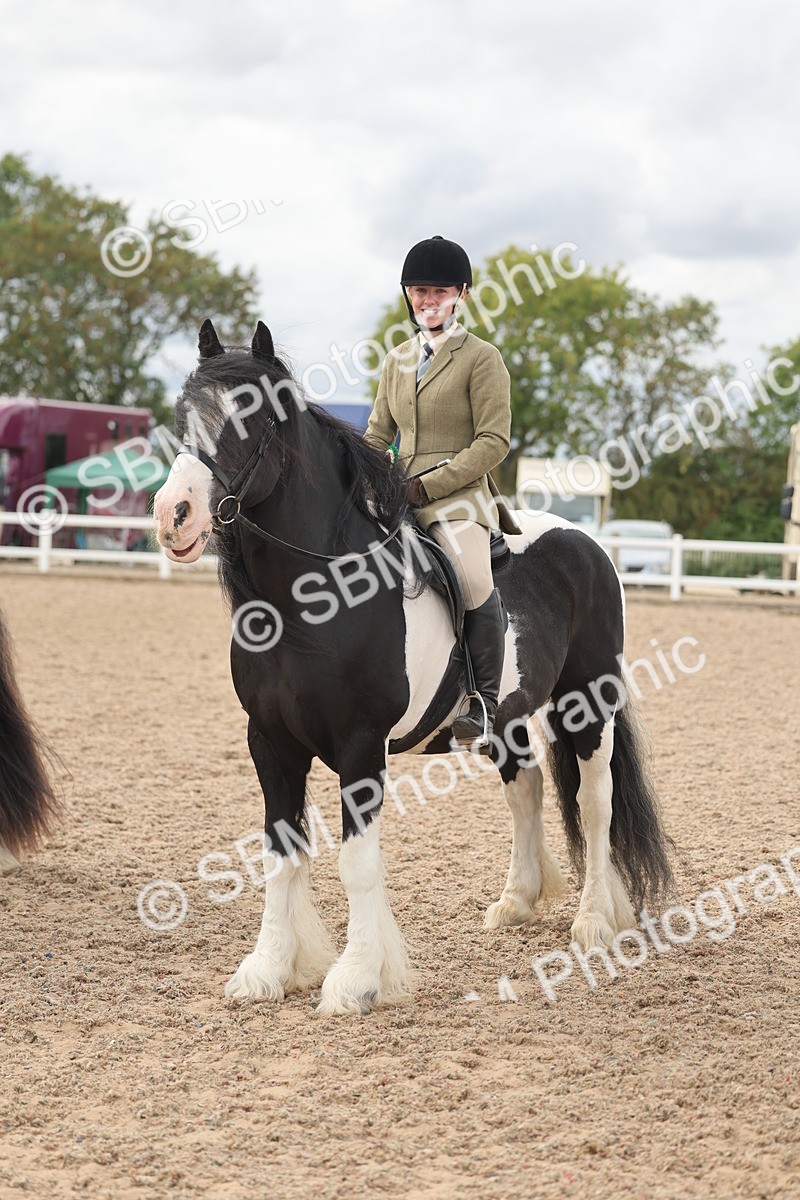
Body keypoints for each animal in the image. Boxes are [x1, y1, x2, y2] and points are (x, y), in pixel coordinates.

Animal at [153, 319, 673, 1015]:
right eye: (182, 414)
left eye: (249, 416)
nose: (172, 515)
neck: (312, 598)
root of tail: (585, 541)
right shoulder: (270, 742)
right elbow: (280, 855)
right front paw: (267, 970)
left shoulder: (359, 745)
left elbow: (357, 863)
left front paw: (356, 980)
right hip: (505, 718)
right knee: (527, 788)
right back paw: (515, 903)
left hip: (587, 703)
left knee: (595, 803)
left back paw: (592, 923)